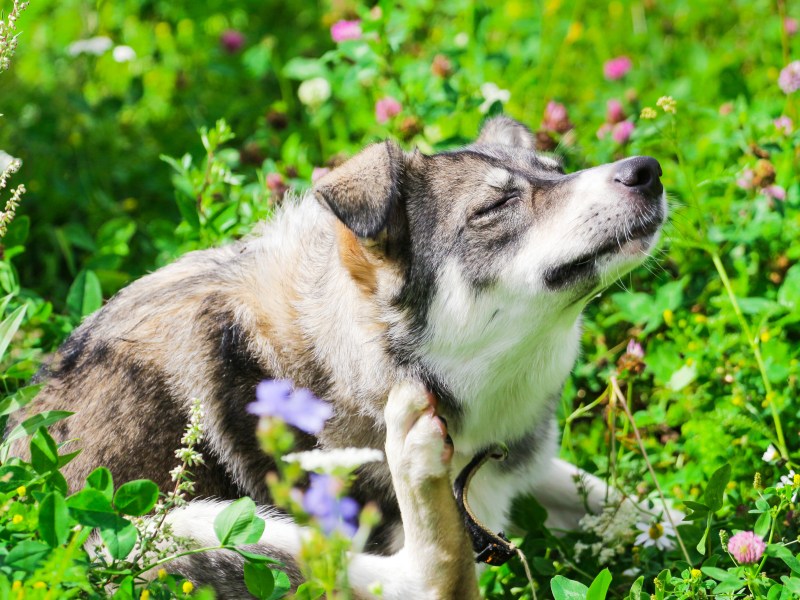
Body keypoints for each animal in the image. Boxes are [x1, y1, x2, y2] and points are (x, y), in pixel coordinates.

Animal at [15, 116, 664, 596]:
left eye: (559, 170)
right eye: (493, 208)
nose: (647, 170)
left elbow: (635, 505)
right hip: (163, 532)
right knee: (428, 582)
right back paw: (414, 456)